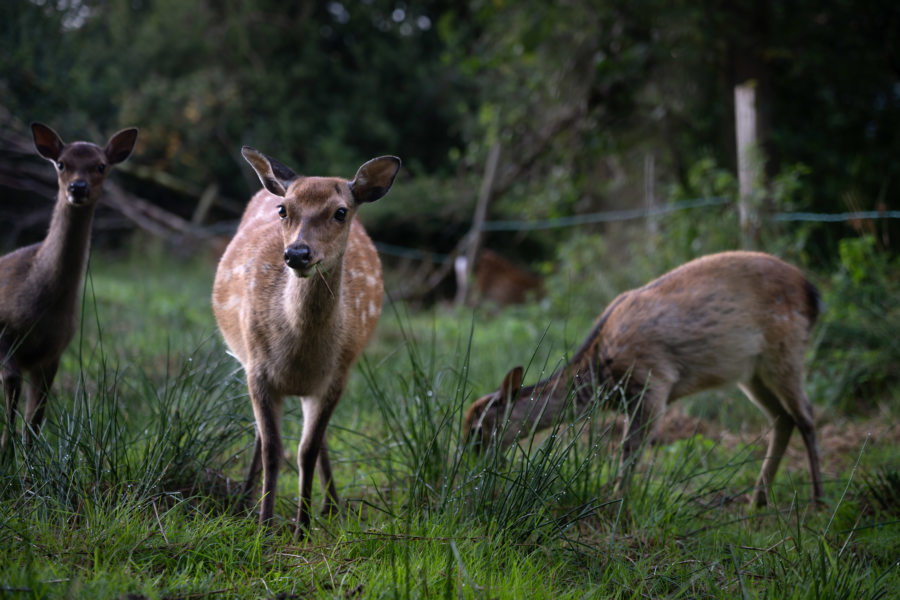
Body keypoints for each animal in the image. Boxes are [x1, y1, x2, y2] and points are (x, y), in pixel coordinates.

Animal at [0, 123, 139, 454]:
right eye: (61, 164)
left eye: (101, 165)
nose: (77, 187)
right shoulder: (5, 335)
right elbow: (11, 395)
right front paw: (5, 457)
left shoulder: (52, 354)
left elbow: (34, 424)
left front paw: (28, 466)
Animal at [213, 145, 400, 528]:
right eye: (284, 209)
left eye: (340, 212)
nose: (297, 253)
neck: (298, 352)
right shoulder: (257, 371)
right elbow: (273, 450)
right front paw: (265, 526)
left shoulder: (334, 378)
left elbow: (306, 451)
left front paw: (303, 527)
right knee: (261, 437)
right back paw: (245, 500)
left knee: (317, 439)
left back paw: (331, 505)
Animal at [468, 250, 828, 506]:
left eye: (477, 427)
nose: (470, 459)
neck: (601, 376)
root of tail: (812, 293)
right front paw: (615, 496)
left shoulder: (653, 381)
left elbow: (630, 450)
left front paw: (616, 501)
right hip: (750, 372)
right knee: (783, 418)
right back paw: (758, 500)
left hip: (786, 349)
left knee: (807, 415)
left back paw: (818, 501)